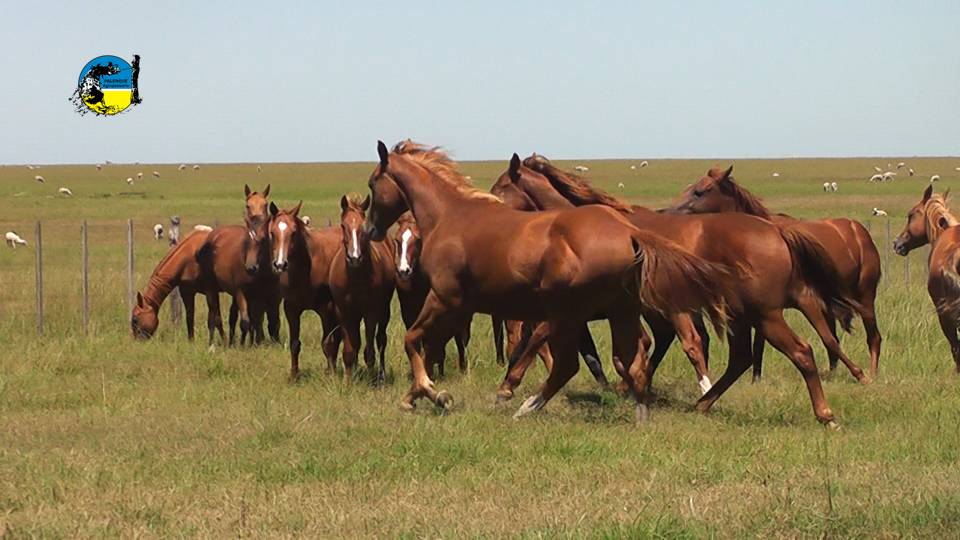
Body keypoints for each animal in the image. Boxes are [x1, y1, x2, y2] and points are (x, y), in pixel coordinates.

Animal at [267, 201, 343, 379]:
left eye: (293, 232)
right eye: (272, 233)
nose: (280, 264)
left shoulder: (326, 308)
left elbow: (328, 342)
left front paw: (331, 374)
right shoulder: (291, 308)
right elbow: (295, 343)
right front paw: (294, 375)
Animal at [328, 195, 396, 384]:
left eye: (363, 227)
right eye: (343, 226)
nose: (354, 258)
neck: (355, 277)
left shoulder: (370, 312)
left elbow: (370, 350)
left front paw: (372, 380)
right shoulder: (344, 312)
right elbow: (350, 350)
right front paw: (347, 382)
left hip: (384, 311)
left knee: (381, 340)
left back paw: (380, 373)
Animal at [520, 155, 859, 426]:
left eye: (700, 190)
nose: (667, 209)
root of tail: (776, 230)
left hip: (764, 313)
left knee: (802, 348)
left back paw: (828, 410)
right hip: (741, 314)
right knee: (743, 357)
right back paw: (700, 402)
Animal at [671, 167, 881, 379]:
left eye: (700, 191)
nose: (668, 212)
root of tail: (858, 229)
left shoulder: (803, 300)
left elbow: (828, 340)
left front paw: (859, 374)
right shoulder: (764, 309)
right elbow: (760, 346)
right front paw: (756, 378)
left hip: (865, 298)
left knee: (873, 337)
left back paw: (872, 373)